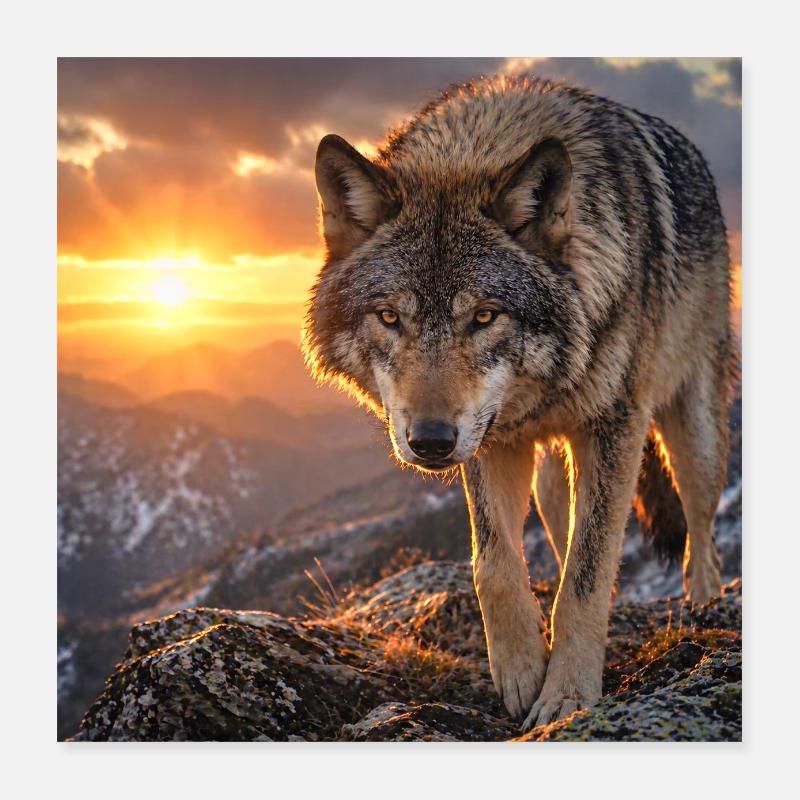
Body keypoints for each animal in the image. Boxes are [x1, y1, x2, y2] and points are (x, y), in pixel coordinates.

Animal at [302, 75, 734, 730]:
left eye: (484, 316)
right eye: (390, 317)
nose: (430, 442)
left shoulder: (615, 427)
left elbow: (586, 574)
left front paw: (568, 694)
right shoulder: (490, 439)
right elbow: (495, 564)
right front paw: (522, 669)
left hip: (693, 438)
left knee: (700, 535)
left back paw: (704, 613)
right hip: (555, 482)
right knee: (564, 530)